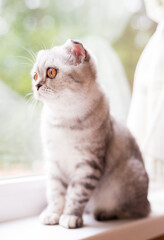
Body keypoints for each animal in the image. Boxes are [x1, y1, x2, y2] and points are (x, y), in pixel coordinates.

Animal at [31, 39, 150, 229]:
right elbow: (56, 193)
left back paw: (104, 213)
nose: (36, 86)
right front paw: (53, 214)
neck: (63, 119)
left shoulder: (88, 164)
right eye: (35, 76)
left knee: (137, 211)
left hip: (128, 177)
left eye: (51, 72)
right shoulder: (54, 162)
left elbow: (77, 196)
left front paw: (70, 217)